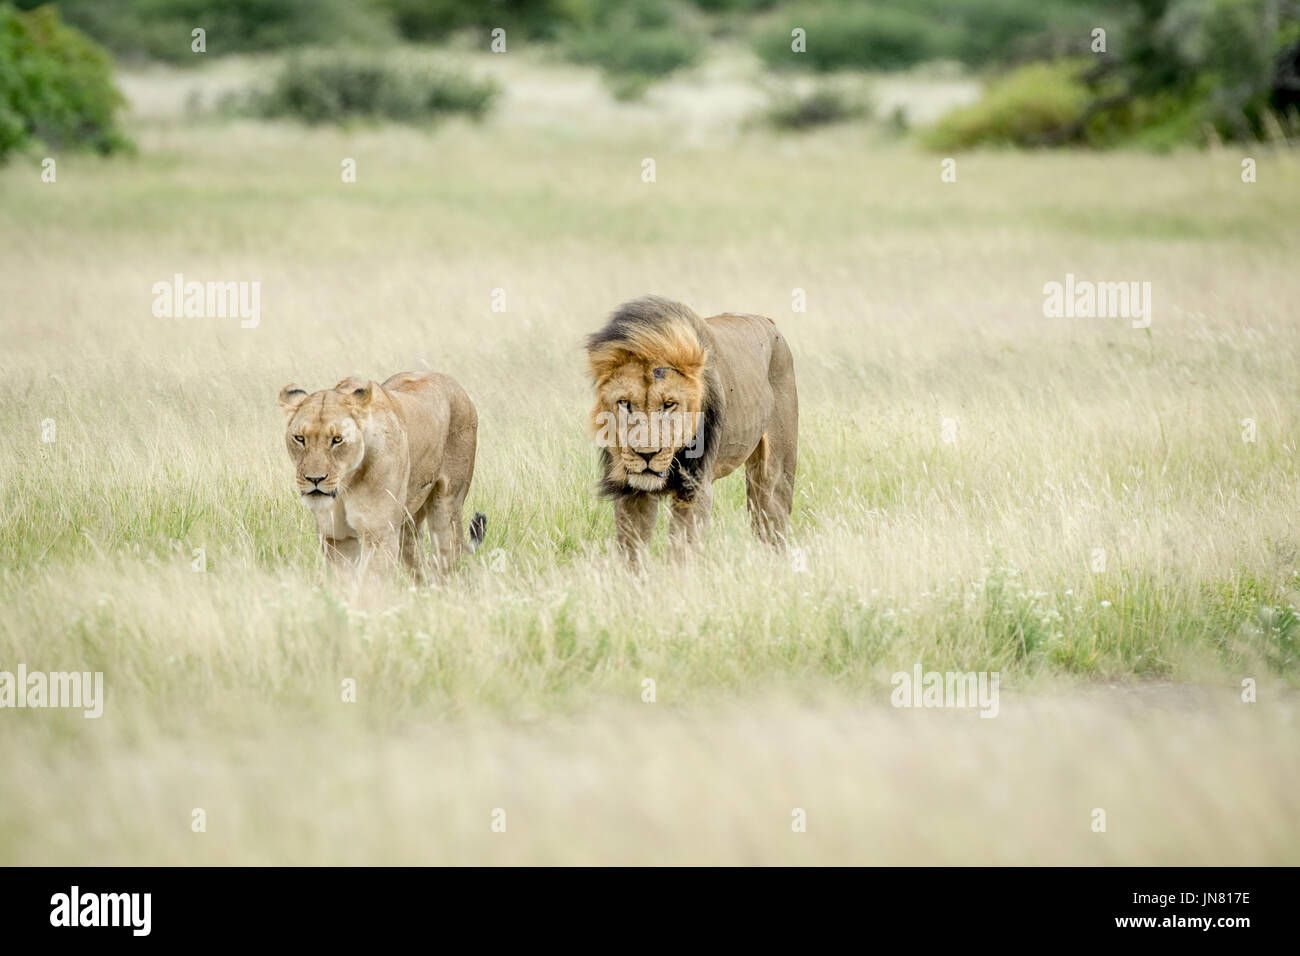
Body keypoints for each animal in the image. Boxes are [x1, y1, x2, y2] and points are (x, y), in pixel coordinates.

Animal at [278, 371, 485, 583]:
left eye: (337, 439)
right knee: (417, 564)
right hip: (408, 523)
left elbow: (369, 583)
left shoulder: (379, 534)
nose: (314, 479)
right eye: (300, 438)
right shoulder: (336, 536)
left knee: (446, 559)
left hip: (446, 508)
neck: (346, 484)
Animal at [586, 295, 798, 561]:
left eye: (669, 405)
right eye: (625, 403)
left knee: (772, 525)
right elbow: (631, 554)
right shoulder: (630, 492)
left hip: (775, 474)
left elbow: (681, 552)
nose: (646, 455)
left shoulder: (695, 488)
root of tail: (767, 321)